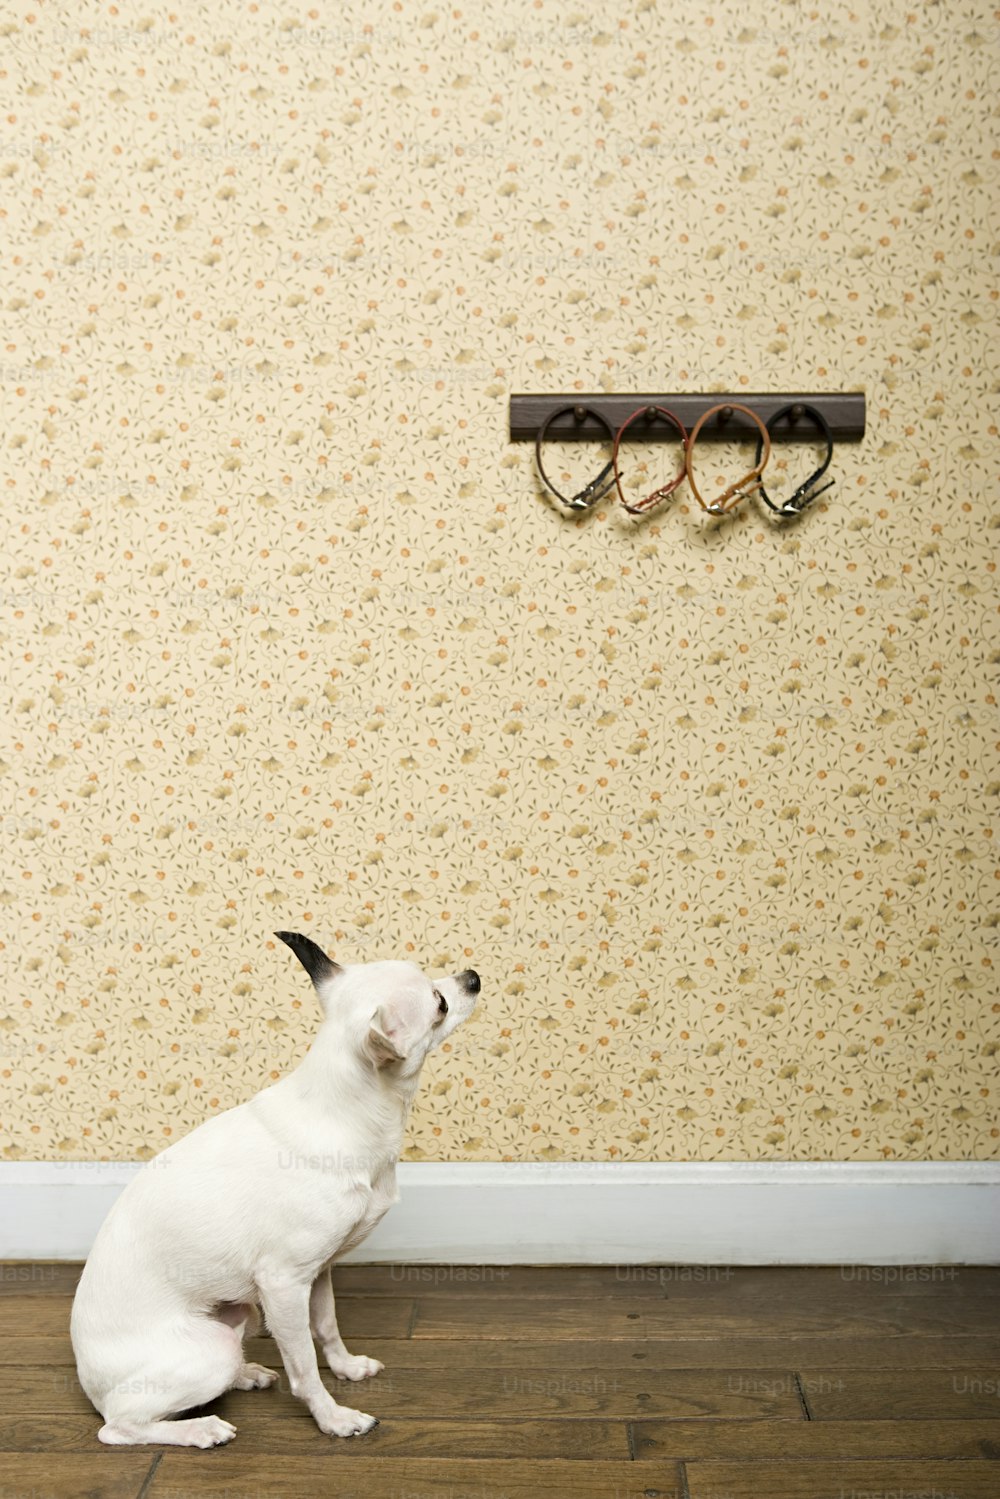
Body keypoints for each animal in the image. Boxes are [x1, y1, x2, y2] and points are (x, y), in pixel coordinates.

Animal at [69, 929, 479, 1445]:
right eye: (439, 1003)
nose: (473, 976)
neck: (349, 1113)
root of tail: (89, 1384)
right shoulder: (284, 1285)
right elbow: (303, 1365)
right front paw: (333, 1417)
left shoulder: (318, 1272)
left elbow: (326, 1326)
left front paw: (346, 1367)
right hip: (207, 1353)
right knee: (122, 1426)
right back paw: (200, 1429)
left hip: (240, 1313)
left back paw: (246, 1374)